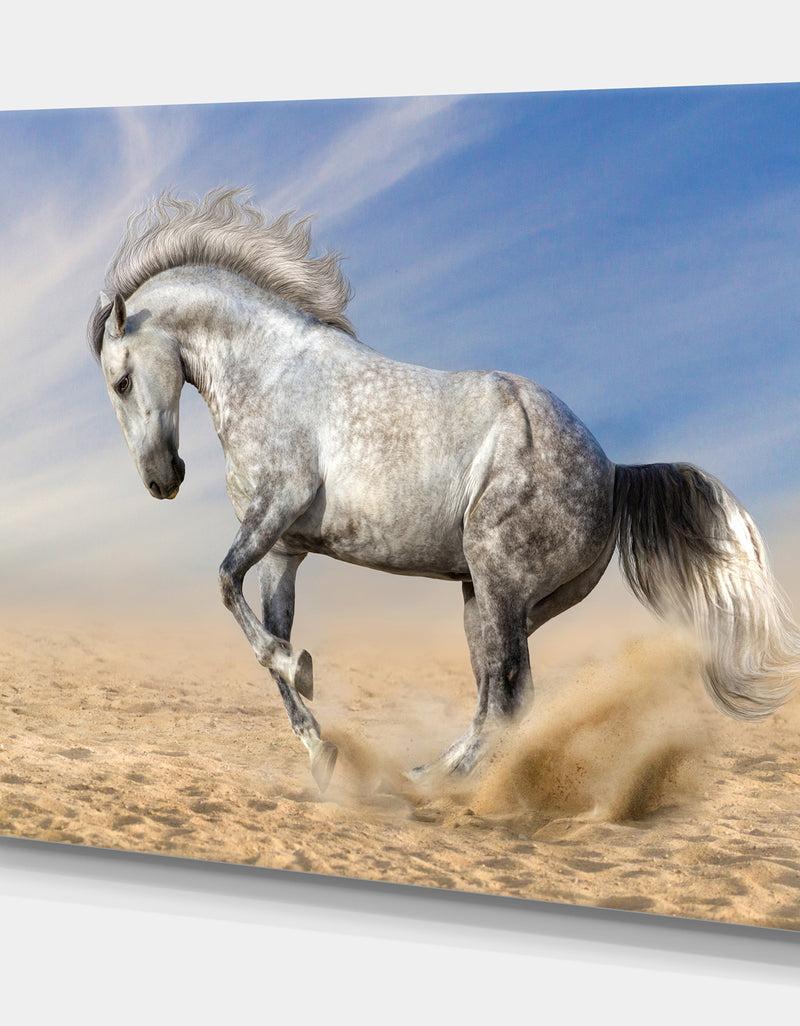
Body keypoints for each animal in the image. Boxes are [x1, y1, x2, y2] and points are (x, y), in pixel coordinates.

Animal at [90, 188, 800, 792]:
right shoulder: (285, 550)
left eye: (121, 380)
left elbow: (227, 589)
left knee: (508, 694)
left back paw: (443, 786)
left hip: (498, 582)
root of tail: (612, 471)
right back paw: (431, 773)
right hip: (489, 599)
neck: (270, 371)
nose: (161, 480)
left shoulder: (275, 511)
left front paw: (304, 671)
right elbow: (263, 632)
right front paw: (319, 748)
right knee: (498, 692)